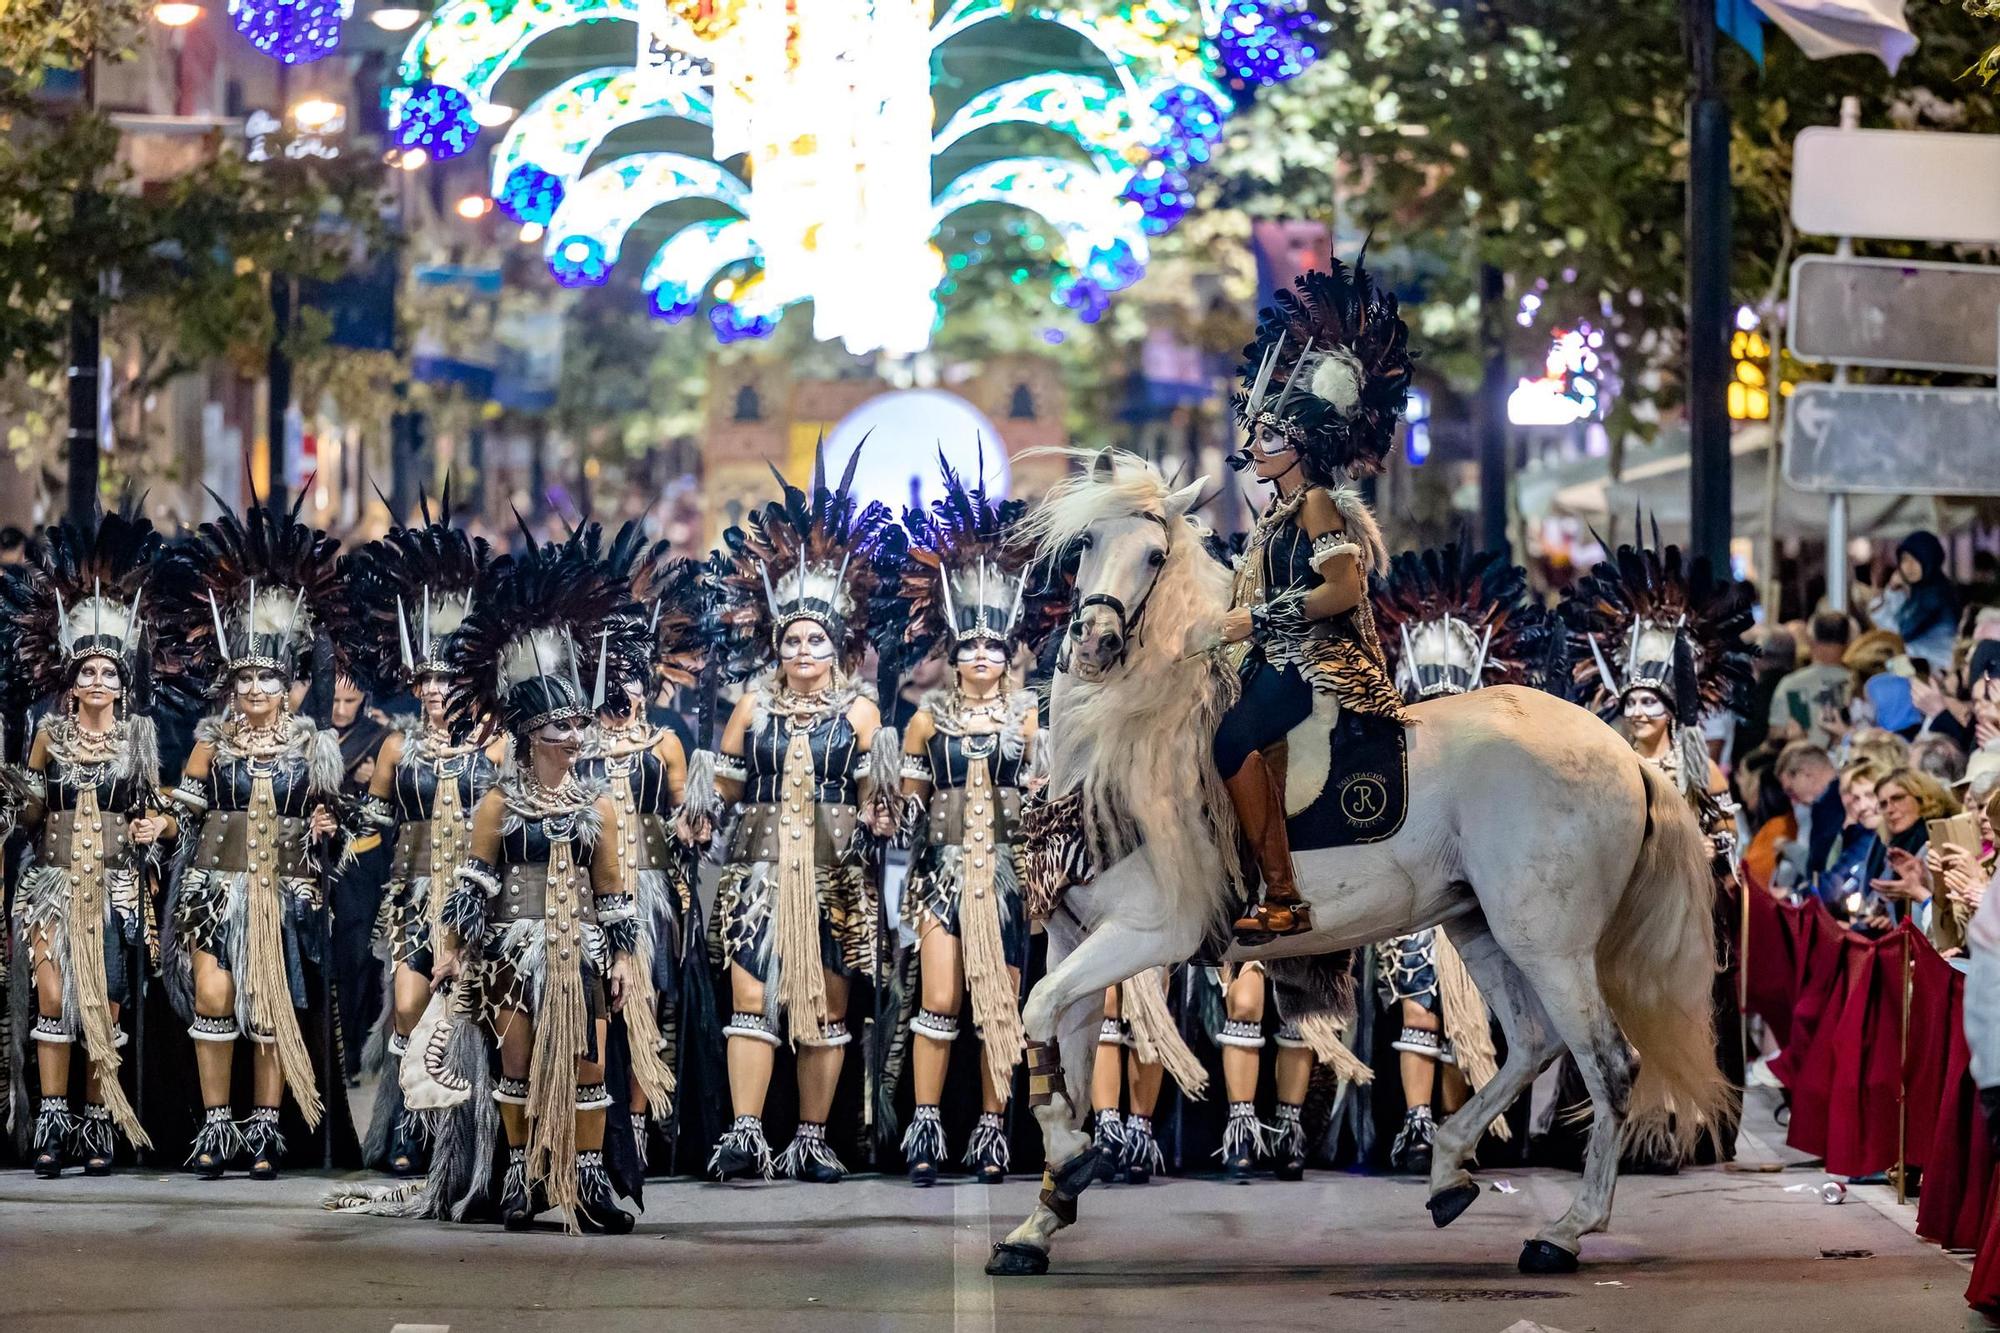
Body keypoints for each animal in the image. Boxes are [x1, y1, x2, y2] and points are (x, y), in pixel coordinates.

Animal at [992, 454, 1728, 1280]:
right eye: (1088, 541)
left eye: (1154, 555)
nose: (1094, 641)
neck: (1126, 744)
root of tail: (1630, 759)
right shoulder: (1072, 936)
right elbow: (1058, 1037)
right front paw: (1042, 1213)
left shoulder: (1149, 931)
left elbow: (1039, 1013)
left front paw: (1069, 1162)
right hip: (1483, 926)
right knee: (1536, 1041)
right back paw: (1448, 1171)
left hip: (1551, 943)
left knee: (1607, 1062)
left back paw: (1564, 1230)